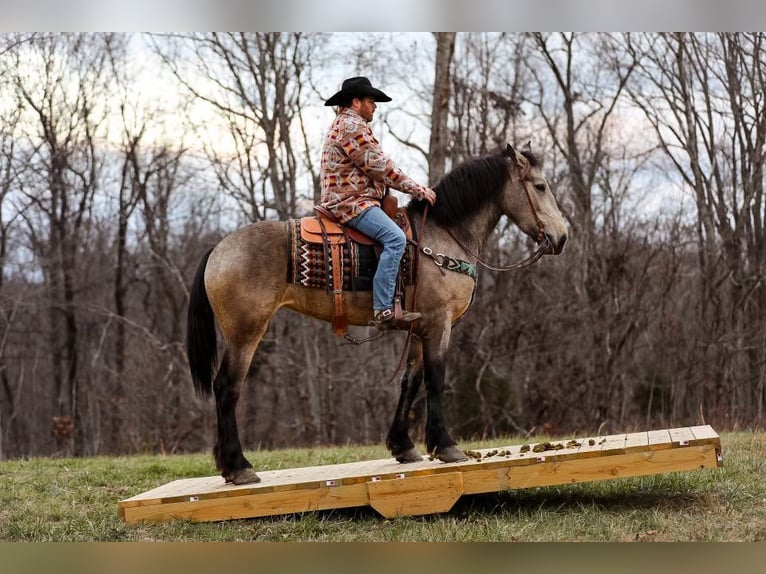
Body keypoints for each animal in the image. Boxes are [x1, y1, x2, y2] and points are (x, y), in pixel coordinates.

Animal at [186, 144, 568, 486]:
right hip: (245, 333)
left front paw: (403, 446)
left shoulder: (419, 327)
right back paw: (239, 466)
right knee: (227, 388)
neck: (441, 237)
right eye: (539, 186)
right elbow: (435, 379)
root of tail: (218, 248)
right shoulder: (439, 323)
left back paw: (228, 466)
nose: (562, 237)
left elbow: (410, 381)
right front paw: (445, 446)